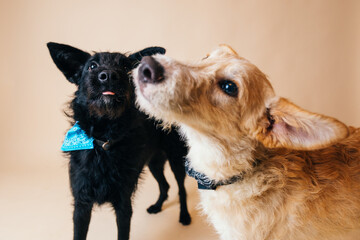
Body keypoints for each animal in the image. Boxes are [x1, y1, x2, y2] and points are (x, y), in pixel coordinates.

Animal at [47, 43, 191, 240]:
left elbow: (123, 233)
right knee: (165, 185)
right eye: (92, 66)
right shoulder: (81, 204)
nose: (108, 75)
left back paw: (184, 216)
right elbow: (79, 233)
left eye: (125, 66)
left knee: (181, 189)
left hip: (176, 159)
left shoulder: (123, 203)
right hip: (154, 162)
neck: (104, 141)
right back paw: (157, 206)